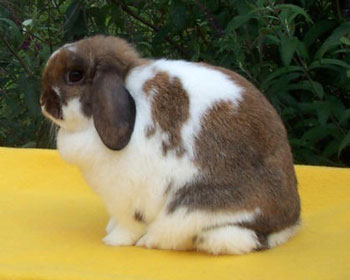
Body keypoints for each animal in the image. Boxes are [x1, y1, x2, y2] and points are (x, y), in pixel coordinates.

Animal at [39, 34, 300, 254]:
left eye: (74, 76)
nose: (43, 102)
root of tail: (285, 225)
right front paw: (109, 229)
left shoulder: (126, 200)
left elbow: (127, 225)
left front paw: (113, 240)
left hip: (195, 210)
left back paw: (150, 241)